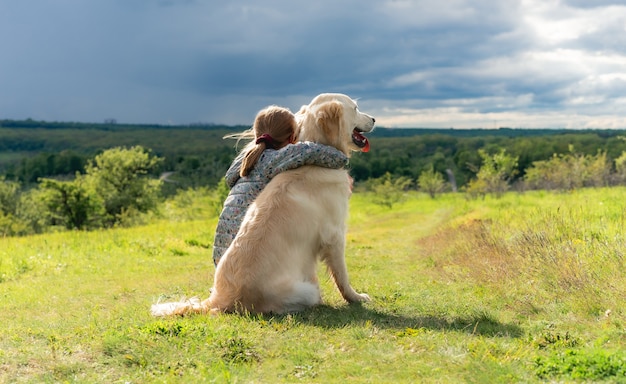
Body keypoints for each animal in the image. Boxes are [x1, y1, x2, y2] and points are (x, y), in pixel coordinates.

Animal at [150, 93, 376, 316]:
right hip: (306, 290)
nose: (374, 119)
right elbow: (342, 276)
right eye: (355, 108)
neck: (316, 161)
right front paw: (356, 297)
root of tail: (219, 300)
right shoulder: (335, 235)